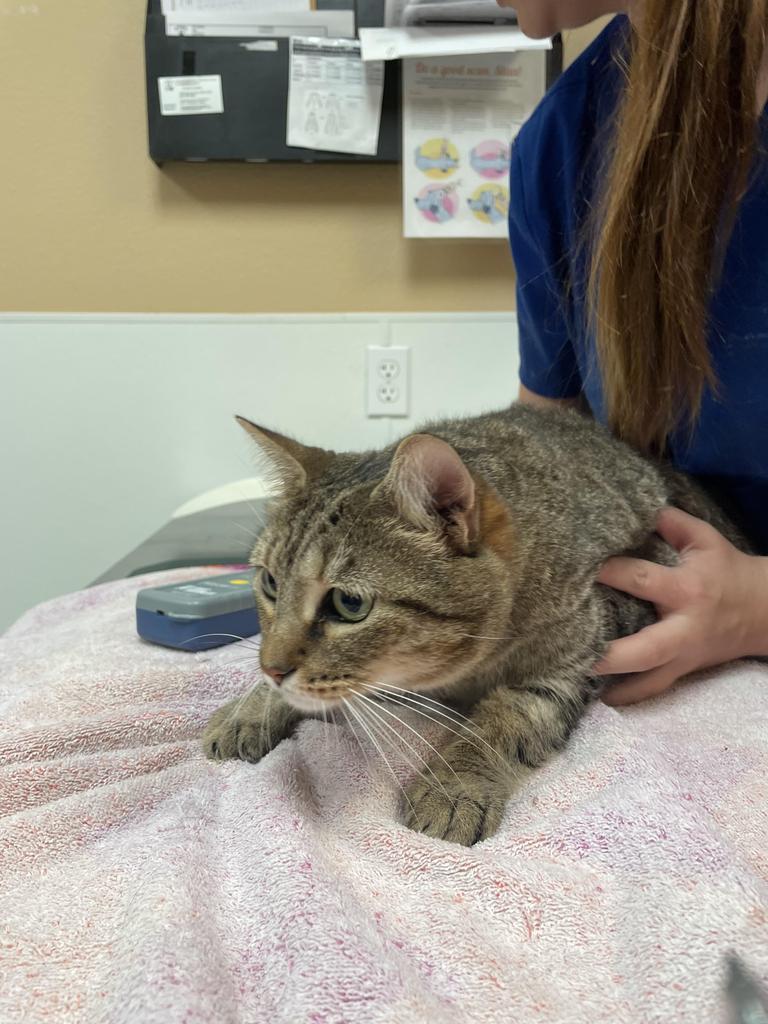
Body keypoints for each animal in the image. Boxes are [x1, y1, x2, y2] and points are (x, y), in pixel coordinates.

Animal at [201, 405, 749, 847]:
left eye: (349, 603)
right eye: (270, 582)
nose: (272, 669)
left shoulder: (580, 654)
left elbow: (503, 720)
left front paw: (454, 784)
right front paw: (251, 708)